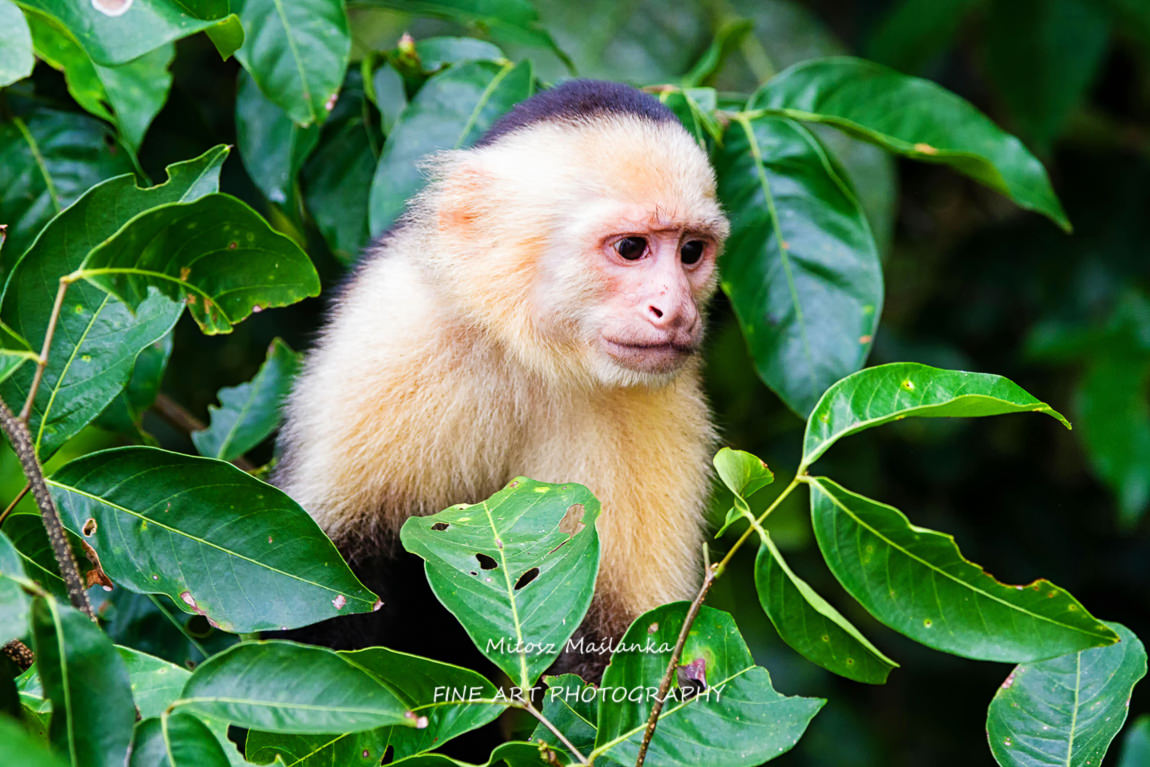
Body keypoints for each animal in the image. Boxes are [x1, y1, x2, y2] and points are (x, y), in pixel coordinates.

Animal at [274, 79, 729, 681]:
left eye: (691, 252)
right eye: (631, 248)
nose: (675, 311)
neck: (529, 356)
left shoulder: (658, 400)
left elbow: (620, 639)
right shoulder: (393, 333)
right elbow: (332, 579)